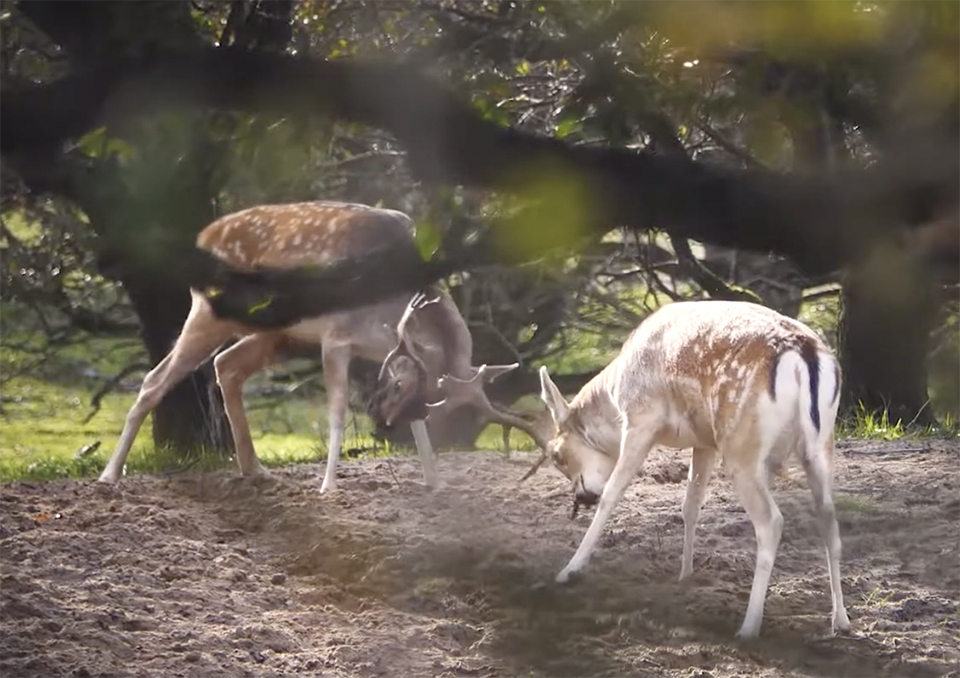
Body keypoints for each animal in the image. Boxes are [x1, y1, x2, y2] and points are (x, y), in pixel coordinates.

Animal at [99, 202, 548, 494]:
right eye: (401, 389)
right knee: (156, 378)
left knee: (226, 365)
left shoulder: (382, 350)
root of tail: (203, 236)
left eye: (432, 403)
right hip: (211, 312)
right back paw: (110, 475)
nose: (381, 419)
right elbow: (335, 412)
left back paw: (254, 469)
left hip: (271, 332)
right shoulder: (336, 336)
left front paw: (434, 481)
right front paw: (329, 485)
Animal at [528, 302, 852, 644]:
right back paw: (840, 621)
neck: (616, 394)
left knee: (771, 521)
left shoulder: (641, 419)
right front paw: (685, 576)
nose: (582, 497)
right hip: (819, 445)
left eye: (557, 455)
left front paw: (568, 571)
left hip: (741, 447)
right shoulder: (704, 440)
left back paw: (749, 627)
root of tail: (804, 353)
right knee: (828, 518)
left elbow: (614, 493)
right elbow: (691, 505)